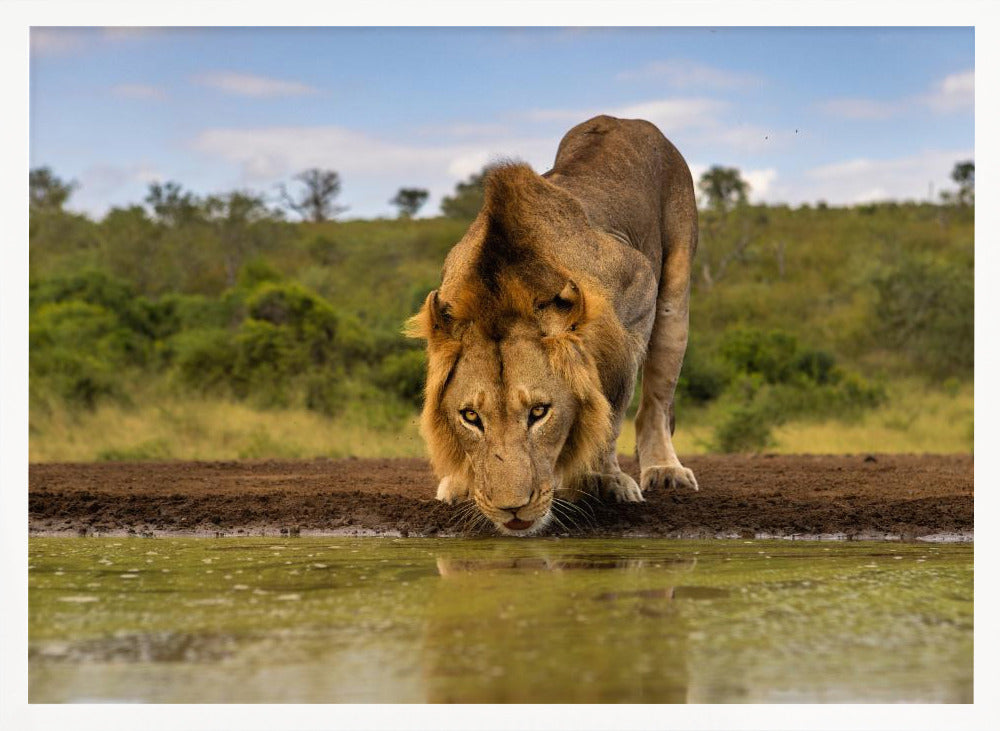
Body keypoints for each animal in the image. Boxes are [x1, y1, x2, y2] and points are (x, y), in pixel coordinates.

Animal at [407, 115, 698, 535]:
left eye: (539, 412)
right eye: (471, 417)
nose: (511, 510)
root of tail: (624, 119)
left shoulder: (638, 290)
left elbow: (612, 410)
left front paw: (604, 479)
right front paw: (461, 482)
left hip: (675, 294)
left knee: (656, 403)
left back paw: (664, 469)